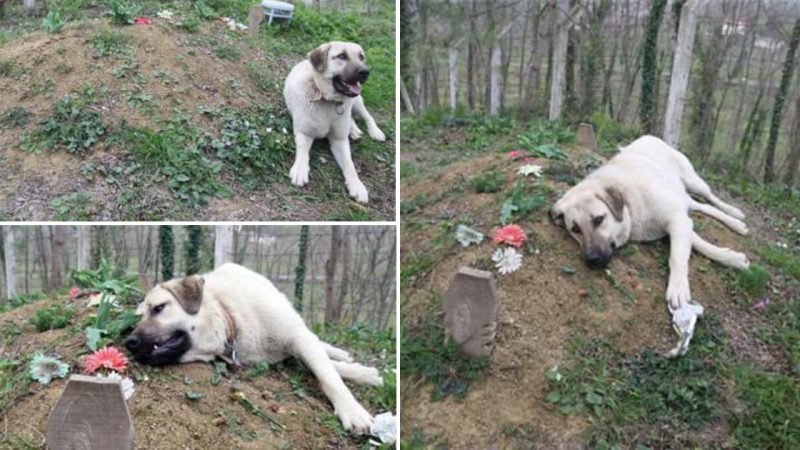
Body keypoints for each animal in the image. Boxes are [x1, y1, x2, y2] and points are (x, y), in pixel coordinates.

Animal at [125, 264, 384, 432]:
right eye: (135, 321)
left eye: (159, 308)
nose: (129, 342)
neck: (229, 317)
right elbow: (324, 368)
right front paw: (365, 374)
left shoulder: (297, 338)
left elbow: (328, 375)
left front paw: (353, 408)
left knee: (318, 342)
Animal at [284, 41, 388, 203]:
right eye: (342, 56)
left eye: (361, 57)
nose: (365, 72)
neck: (329, 101)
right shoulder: (304, 133)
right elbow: (302, 152)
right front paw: (300, 170)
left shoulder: (339, 140)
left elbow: (349, 164)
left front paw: (357, 186)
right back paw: (355, 131)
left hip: (357, 101)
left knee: (367, 116)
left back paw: (373, 131)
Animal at [552, 135, 752, 312]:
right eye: (575, 229)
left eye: (598, 219)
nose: (592, 260)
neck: (631, 204)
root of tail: (649, 136)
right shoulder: (679, 220)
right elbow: (699, 243)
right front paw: (731, 257)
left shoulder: (676, 219)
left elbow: (677, 256)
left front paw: (678, 288)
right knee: (700, 206)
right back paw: (735, 223)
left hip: (694, 183)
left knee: (710, 198)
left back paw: (734, 214)